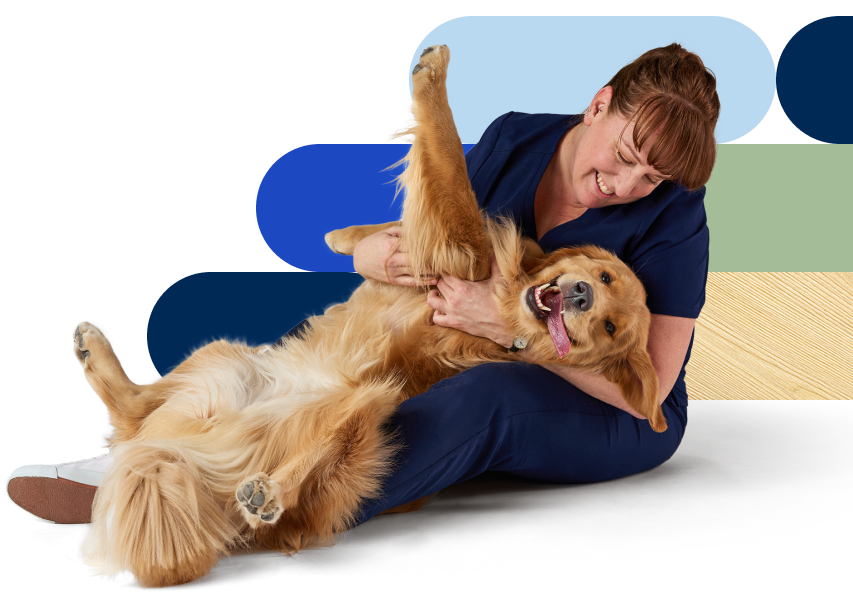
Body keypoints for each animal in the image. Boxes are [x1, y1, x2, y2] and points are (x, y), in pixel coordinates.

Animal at [70, 44, 664, 588]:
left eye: (610, 328)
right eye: (604, 278)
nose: (582, 297)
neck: (514, 291)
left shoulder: (463, 257)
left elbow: (455, 182)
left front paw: (432, 74)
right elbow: (408, 215)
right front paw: (346, 236)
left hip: (370, 408)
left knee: (304, 455)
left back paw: (267, 492)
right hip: (225, 363)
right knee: (135, 413)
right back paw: (95, 352)